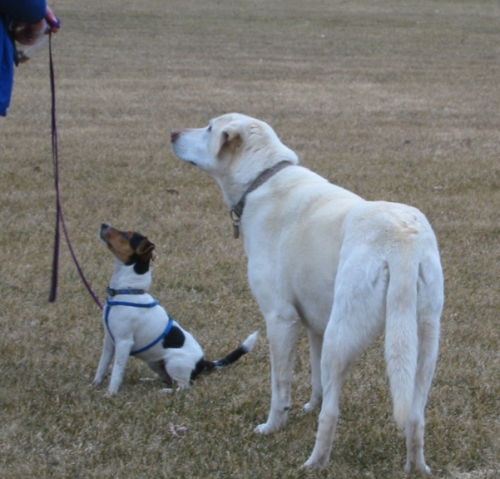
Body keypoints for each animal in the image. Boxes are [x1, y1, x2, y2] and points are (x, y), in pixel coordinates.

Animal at [171, 113, 442, 472]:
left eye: (209, 128)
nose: (172, 133)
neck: (262, 178)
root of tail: (401, 239)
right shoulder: (317, 326)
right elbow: (317, 382)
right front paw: (308, 407)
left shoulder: (281, 320)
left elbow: (280, 386)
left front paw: (273, 426)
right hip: (422, 344)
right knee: (414, 415)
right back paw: (416, 468)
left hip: (342, 338)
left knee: (332, 414)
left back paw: (314, 464)